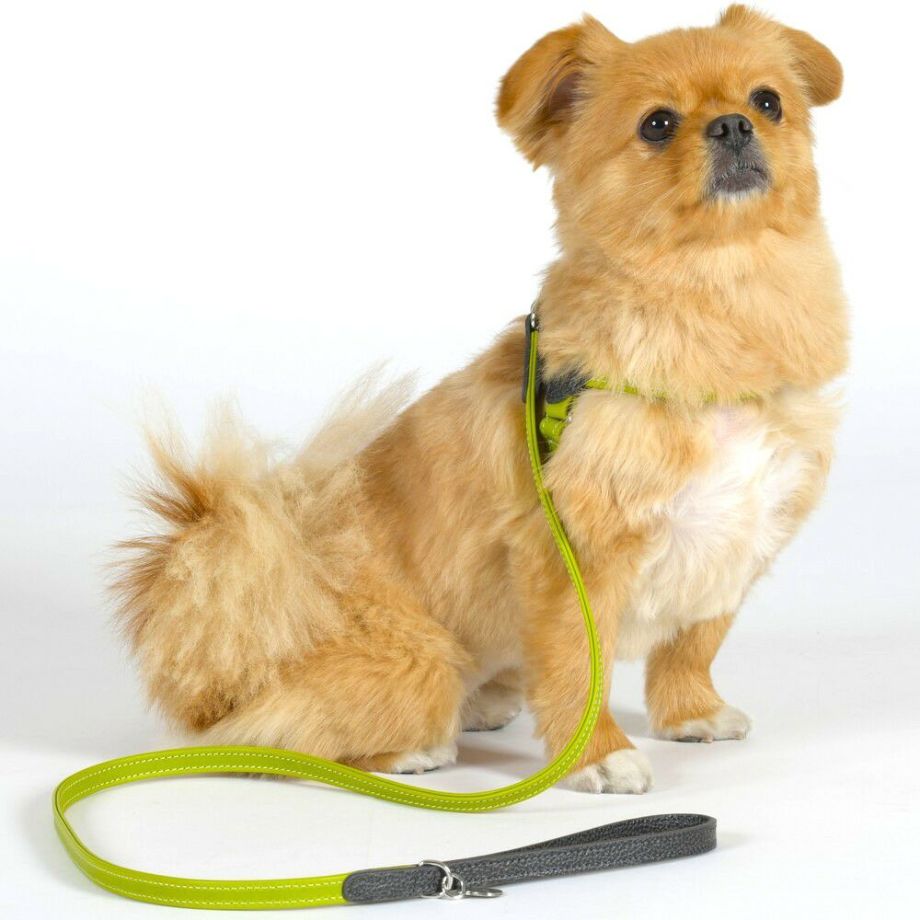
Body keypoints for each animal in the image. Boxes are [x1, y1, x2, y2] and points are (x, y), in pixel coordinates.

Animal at [114, 6, 847, 793]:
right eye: (657, 124)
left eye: (769, 101)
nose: (734, 125)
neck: (723, 295)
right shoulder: (569, 563)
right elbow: (577, 671)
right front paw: (597, 754)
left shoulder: (733, 546)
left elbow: (691, 645)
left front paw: (691, 714)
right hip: (416, 662)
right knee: (277, 737)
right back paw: (409, 750)